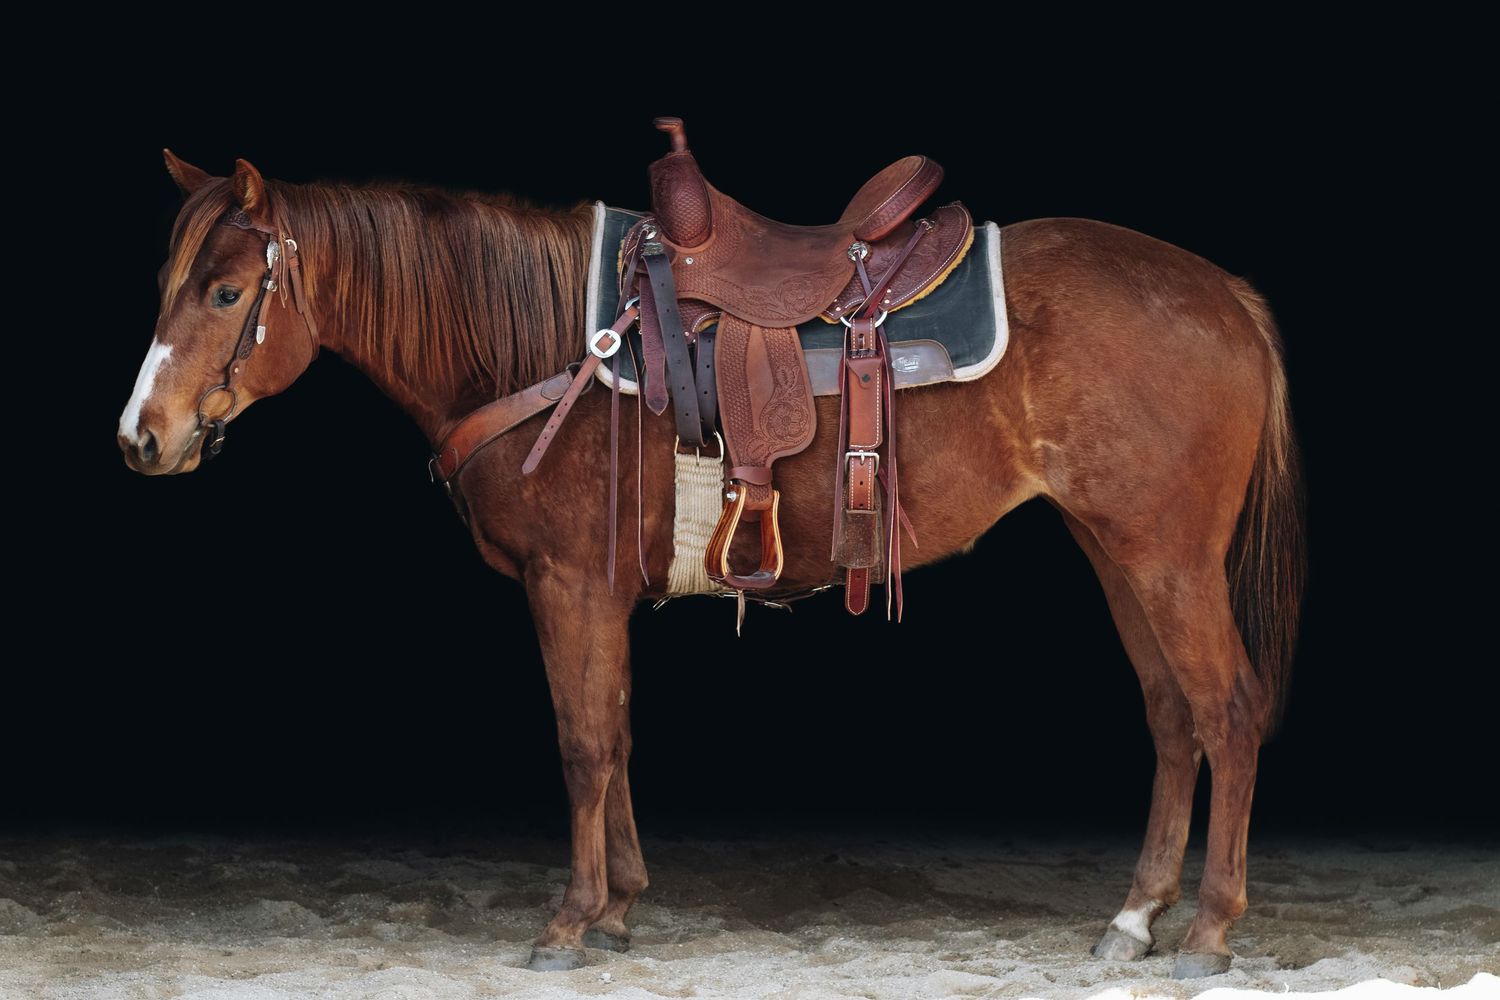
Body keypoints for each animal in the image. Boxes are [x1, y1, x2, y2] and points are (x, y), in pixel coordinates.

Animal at [118, 150, 1305, 978]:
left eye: (225, 294)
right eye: (175, 280)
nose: (142, 438)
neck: (541, 345)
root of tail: (1228, 295)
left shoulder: (570, 585)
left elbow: (583, 743)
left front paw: (569, 922)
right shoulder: (602, 596)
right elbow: (617, 732)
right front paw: (620, 906)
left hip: (1168, 554)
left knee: (1228, 708)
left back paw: (1209, 931)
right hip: (1116, 545)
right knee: (1172, 716)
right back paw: (1134, 917)